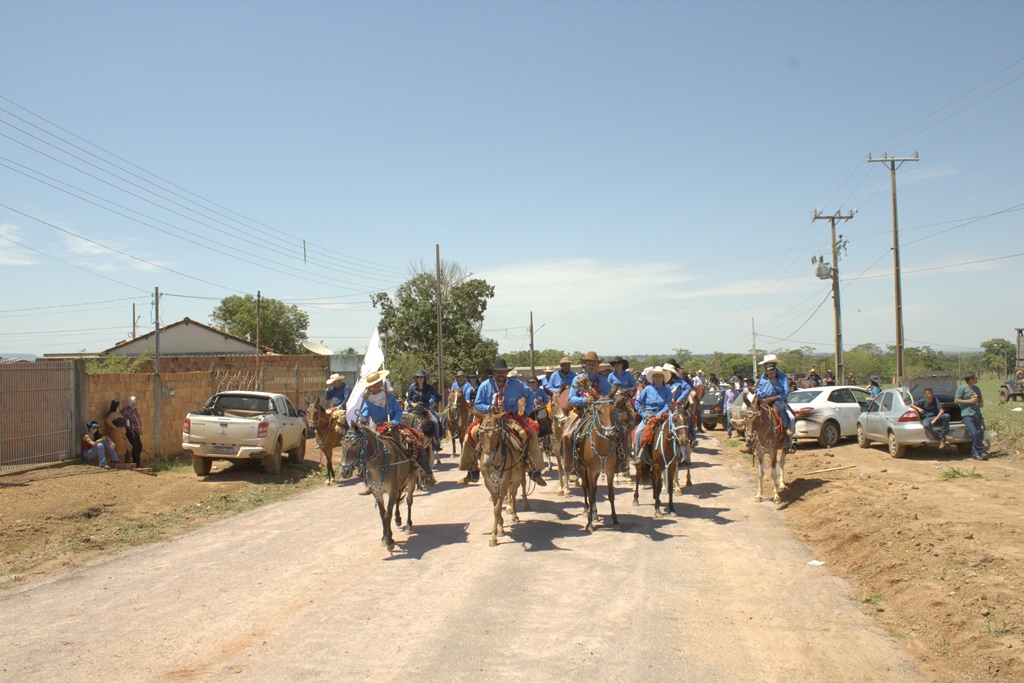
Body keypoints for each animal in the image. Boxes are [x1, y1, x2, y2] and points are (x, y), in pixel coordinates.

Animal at [476, 410, 531, 547]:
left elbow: (497, 508)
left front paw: (493, 536)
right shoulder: (489, 483)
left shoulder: (505, 481)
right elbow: (496, 505)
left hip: (517, 474)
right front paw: (499, 528)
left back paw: (515, 514)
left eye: (496, 433)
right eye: (480, 433)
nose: (487, 462)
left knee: (514, 492)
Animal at [564, 398, 621, 533]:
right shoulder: (590, 470)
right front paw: (589, 524)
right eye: (599, 411)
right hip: (583, 469)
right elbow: (590, 494)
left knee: (593, 489)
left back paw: (595, 513)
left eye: (613, 410)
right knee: (587, 488)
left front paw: (615, 520)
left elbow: (611, 495)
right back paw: (587, 510)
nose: (610, 433)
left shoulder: (609, 471)